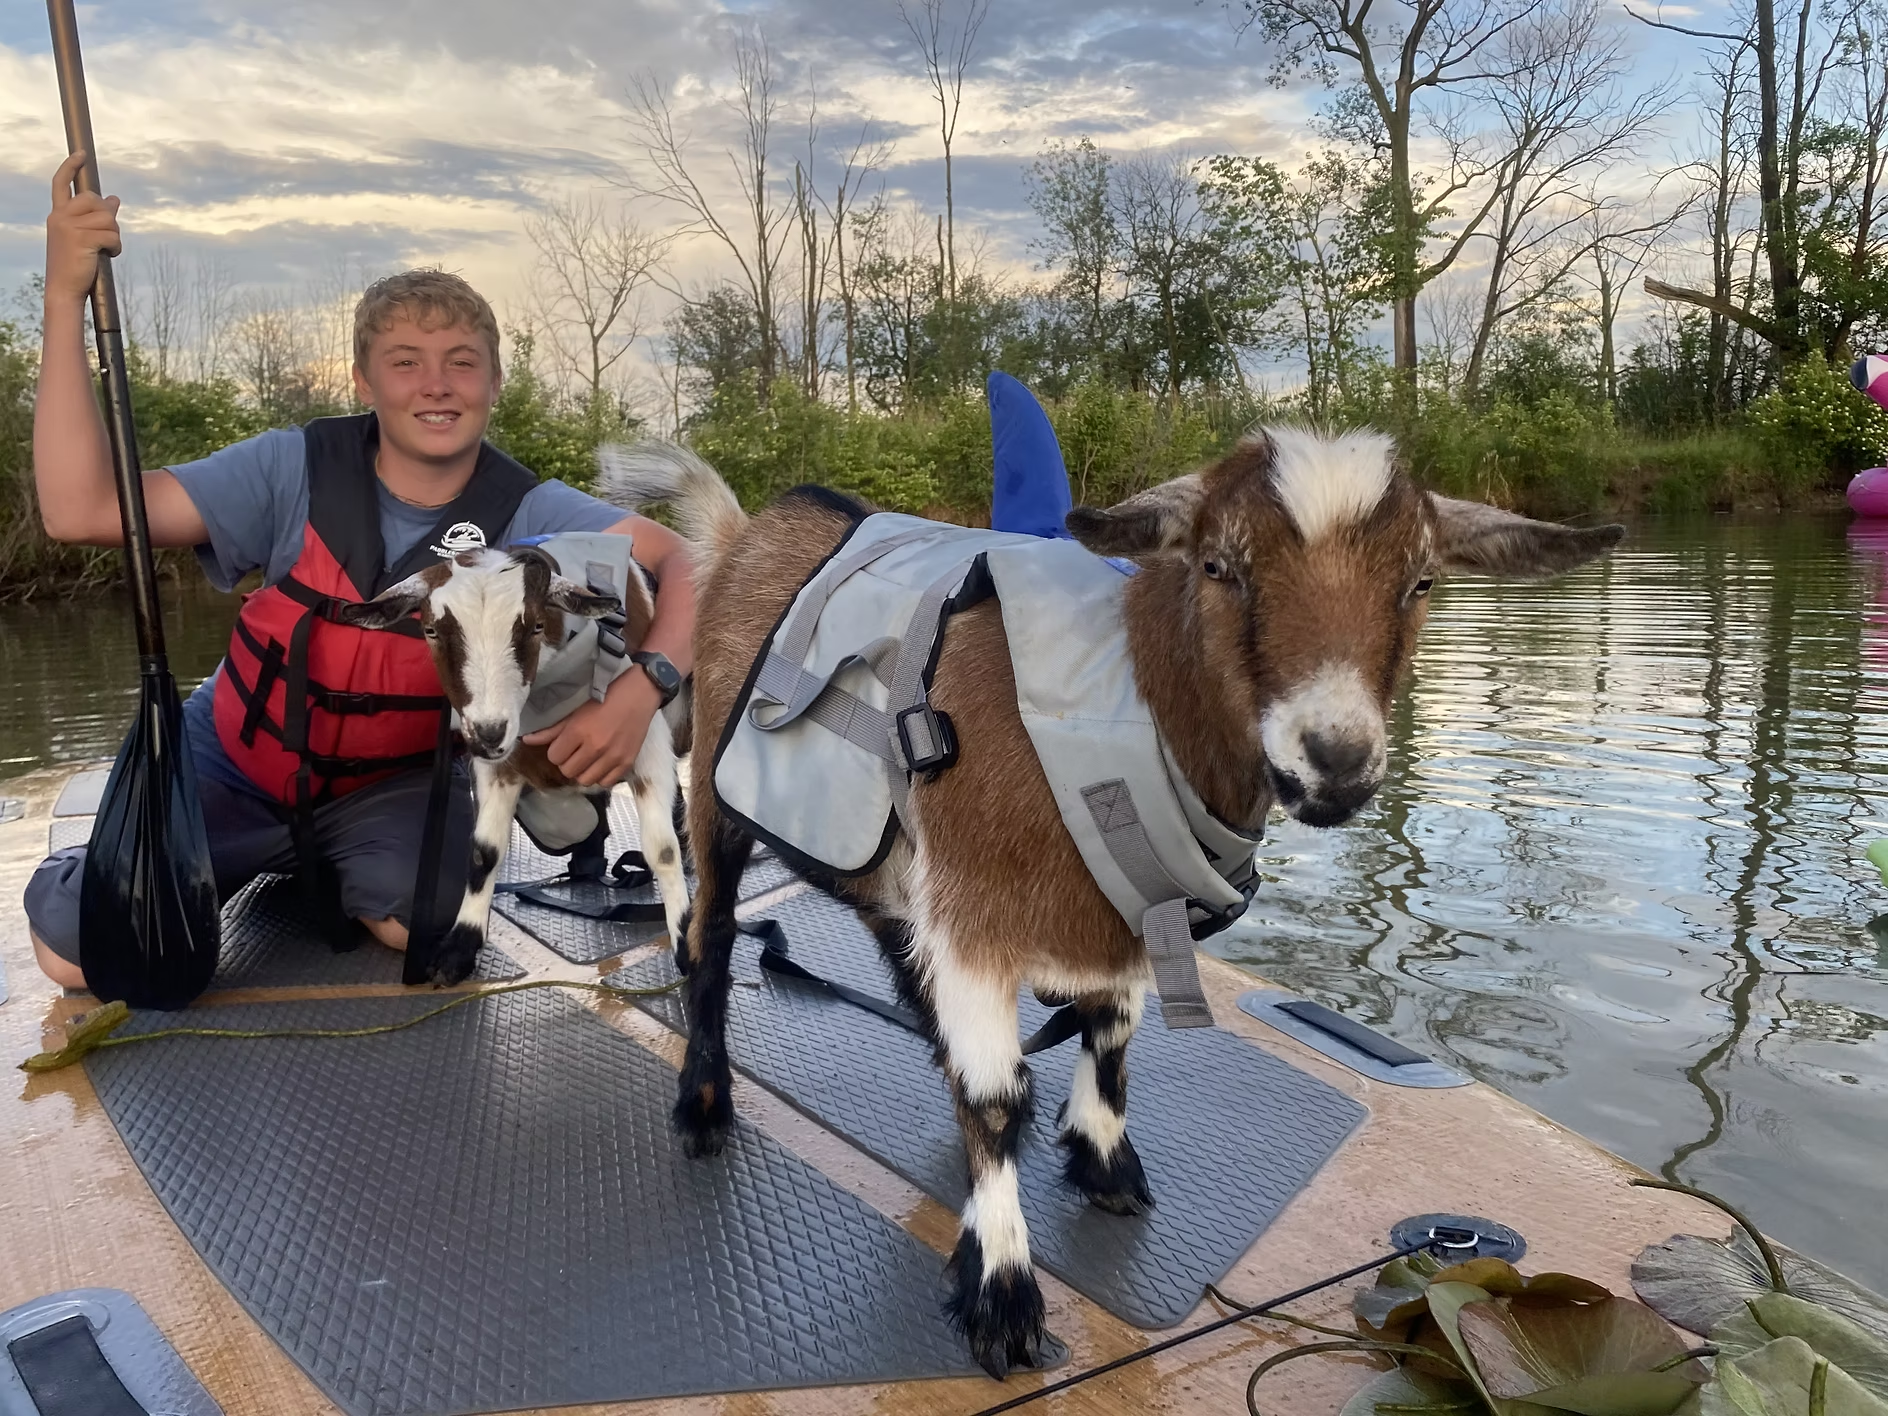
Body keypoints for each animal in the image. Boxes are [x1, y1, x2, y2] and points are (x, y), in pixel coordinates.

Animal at [335, 545, 689, 985]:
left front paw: (691, 951)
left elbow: (664, 852)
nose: (489, 732)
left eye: (536, 625)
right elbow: (484, 852)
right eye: (431, 631)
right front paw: (460, 947)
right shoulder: (496, 765)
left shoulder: (645, 743)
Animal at [604, 431, 1622, 1376]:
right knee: (710, 939)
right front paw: (1003, 1297)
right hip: (720, 793)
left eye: (1420, 581)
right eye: (1218, 566)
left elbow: (1112, 1037)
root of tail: (750, 528)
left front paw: (1102, 1161)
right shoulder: (977, 913)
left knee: (890, 937)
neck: (1127, 697)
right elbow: (997, 1101)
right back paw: (704, 1104)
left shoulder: (1126, 905)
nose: (1335, 760)